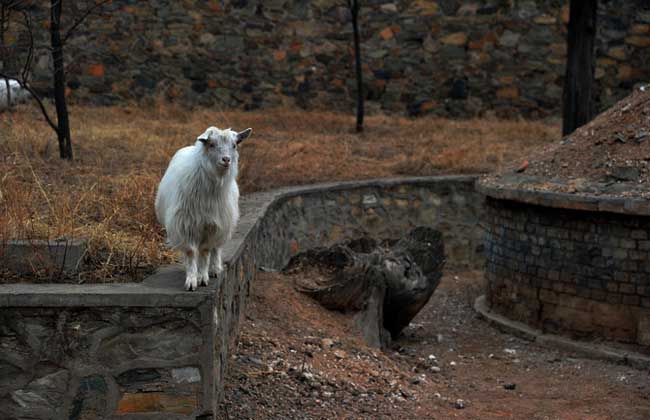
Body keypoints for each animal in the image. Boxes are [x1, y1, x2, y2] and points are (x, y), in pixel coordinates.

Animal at [154, 126, 251, 290]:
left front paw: (203, 277)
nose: (226, 160)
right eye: (211, 144)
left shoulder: (212, 226)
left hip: (223, 224)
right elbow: (191, 252)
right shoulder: (185, 225)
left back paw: (215, 269)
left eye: (234, 145)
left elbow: (205, 252)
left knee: (216, 248)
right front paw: (192, 280)